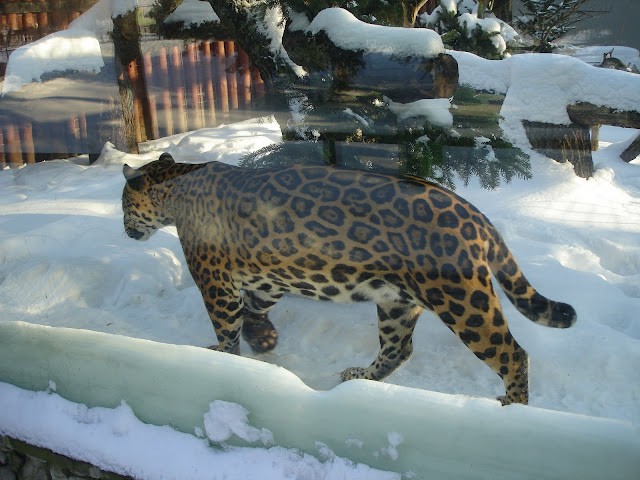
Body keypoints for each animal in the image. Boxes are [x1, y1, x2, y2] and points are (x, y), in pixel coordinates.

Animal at [122, 153, 577, 405]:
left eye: (124, 203)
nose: (124, 229)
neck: (174, 188)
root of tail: (477, 215)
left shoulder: (215, 282)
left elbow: (226, 326)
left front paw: (224, 360)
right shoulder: (268, 279)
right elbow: (254, 309)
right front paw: (264, 341)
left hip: (462, 300)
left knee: (512, 353)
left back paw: (513, 407)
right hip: (397, 301)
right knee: (399, 348)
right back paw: (359, 379)